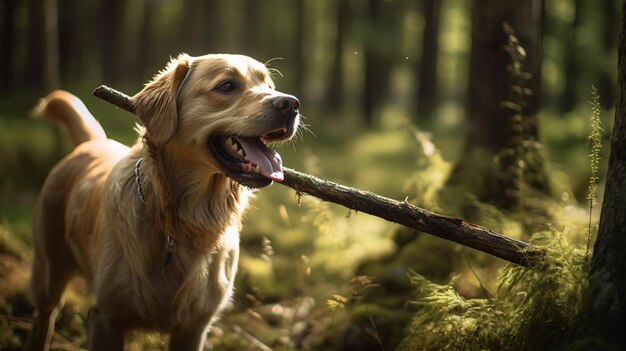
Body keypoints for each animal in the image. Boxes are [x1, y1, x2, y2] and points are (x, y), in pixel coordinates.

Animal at [28, 53, 300, 350]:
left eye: (270, 86)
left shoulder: (193, 327)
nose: (291, 104)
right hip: (48, 273)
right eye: (227, 86)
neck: (182, 219)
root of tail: (89, 144)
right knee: (44, 316)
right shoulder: (106, 318)